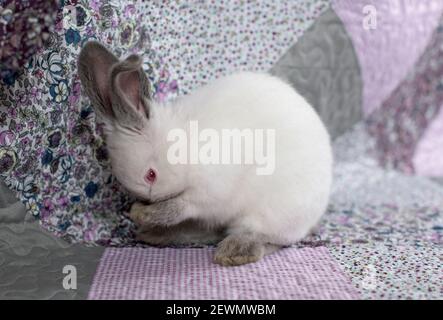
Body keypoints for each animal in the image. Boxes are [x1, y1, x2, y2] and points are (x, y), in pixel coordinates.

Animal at [78, 41, 332, 266]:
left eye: (151, 175)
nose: (147, 201)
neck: (185, 146)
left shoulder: (209, 192)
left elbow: (178, 207)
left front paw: (141, 214)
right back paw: (157, 235)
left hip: (272, 214)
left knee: (268, 238)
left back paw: (234, 252)